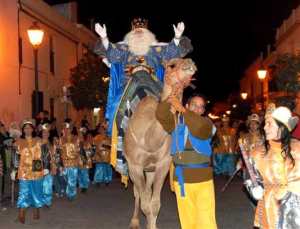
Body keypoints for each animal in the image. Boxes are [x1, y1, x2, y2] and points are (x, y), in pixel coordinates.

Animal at [123, 58, 197, 229]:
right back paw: (134, 221)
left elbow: (155, 204)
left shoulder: (163, 164)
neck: (149, 139)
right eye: (172, 65)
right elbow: (144, 203)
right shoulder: (135, 165)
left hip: (150, 170)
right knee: (137, 193)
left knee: (148, 192)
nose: (190, 63)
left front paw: (153, 225)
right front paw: (139, 222)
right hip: (132, 168)